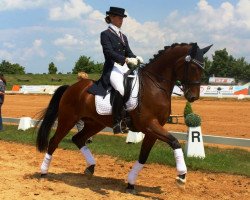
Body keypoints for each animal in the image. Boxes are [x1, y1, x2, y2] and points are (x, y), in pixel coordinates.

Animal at [35, 42, 211, 194]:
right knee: (54, 142)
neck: (155, 86)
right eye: (193, 67)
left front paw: (131, 183)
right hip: (68, 119)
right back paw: (44, 172)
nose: (193, 97)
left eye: (203, 68)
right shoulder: (150, 125)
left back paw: (90, 168)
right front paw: (181, 176)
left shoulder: (152, 130)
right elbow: (174, 142)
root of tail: (71, 87)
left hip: (94, 123)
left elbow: (143, 157)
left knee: (78, 139)